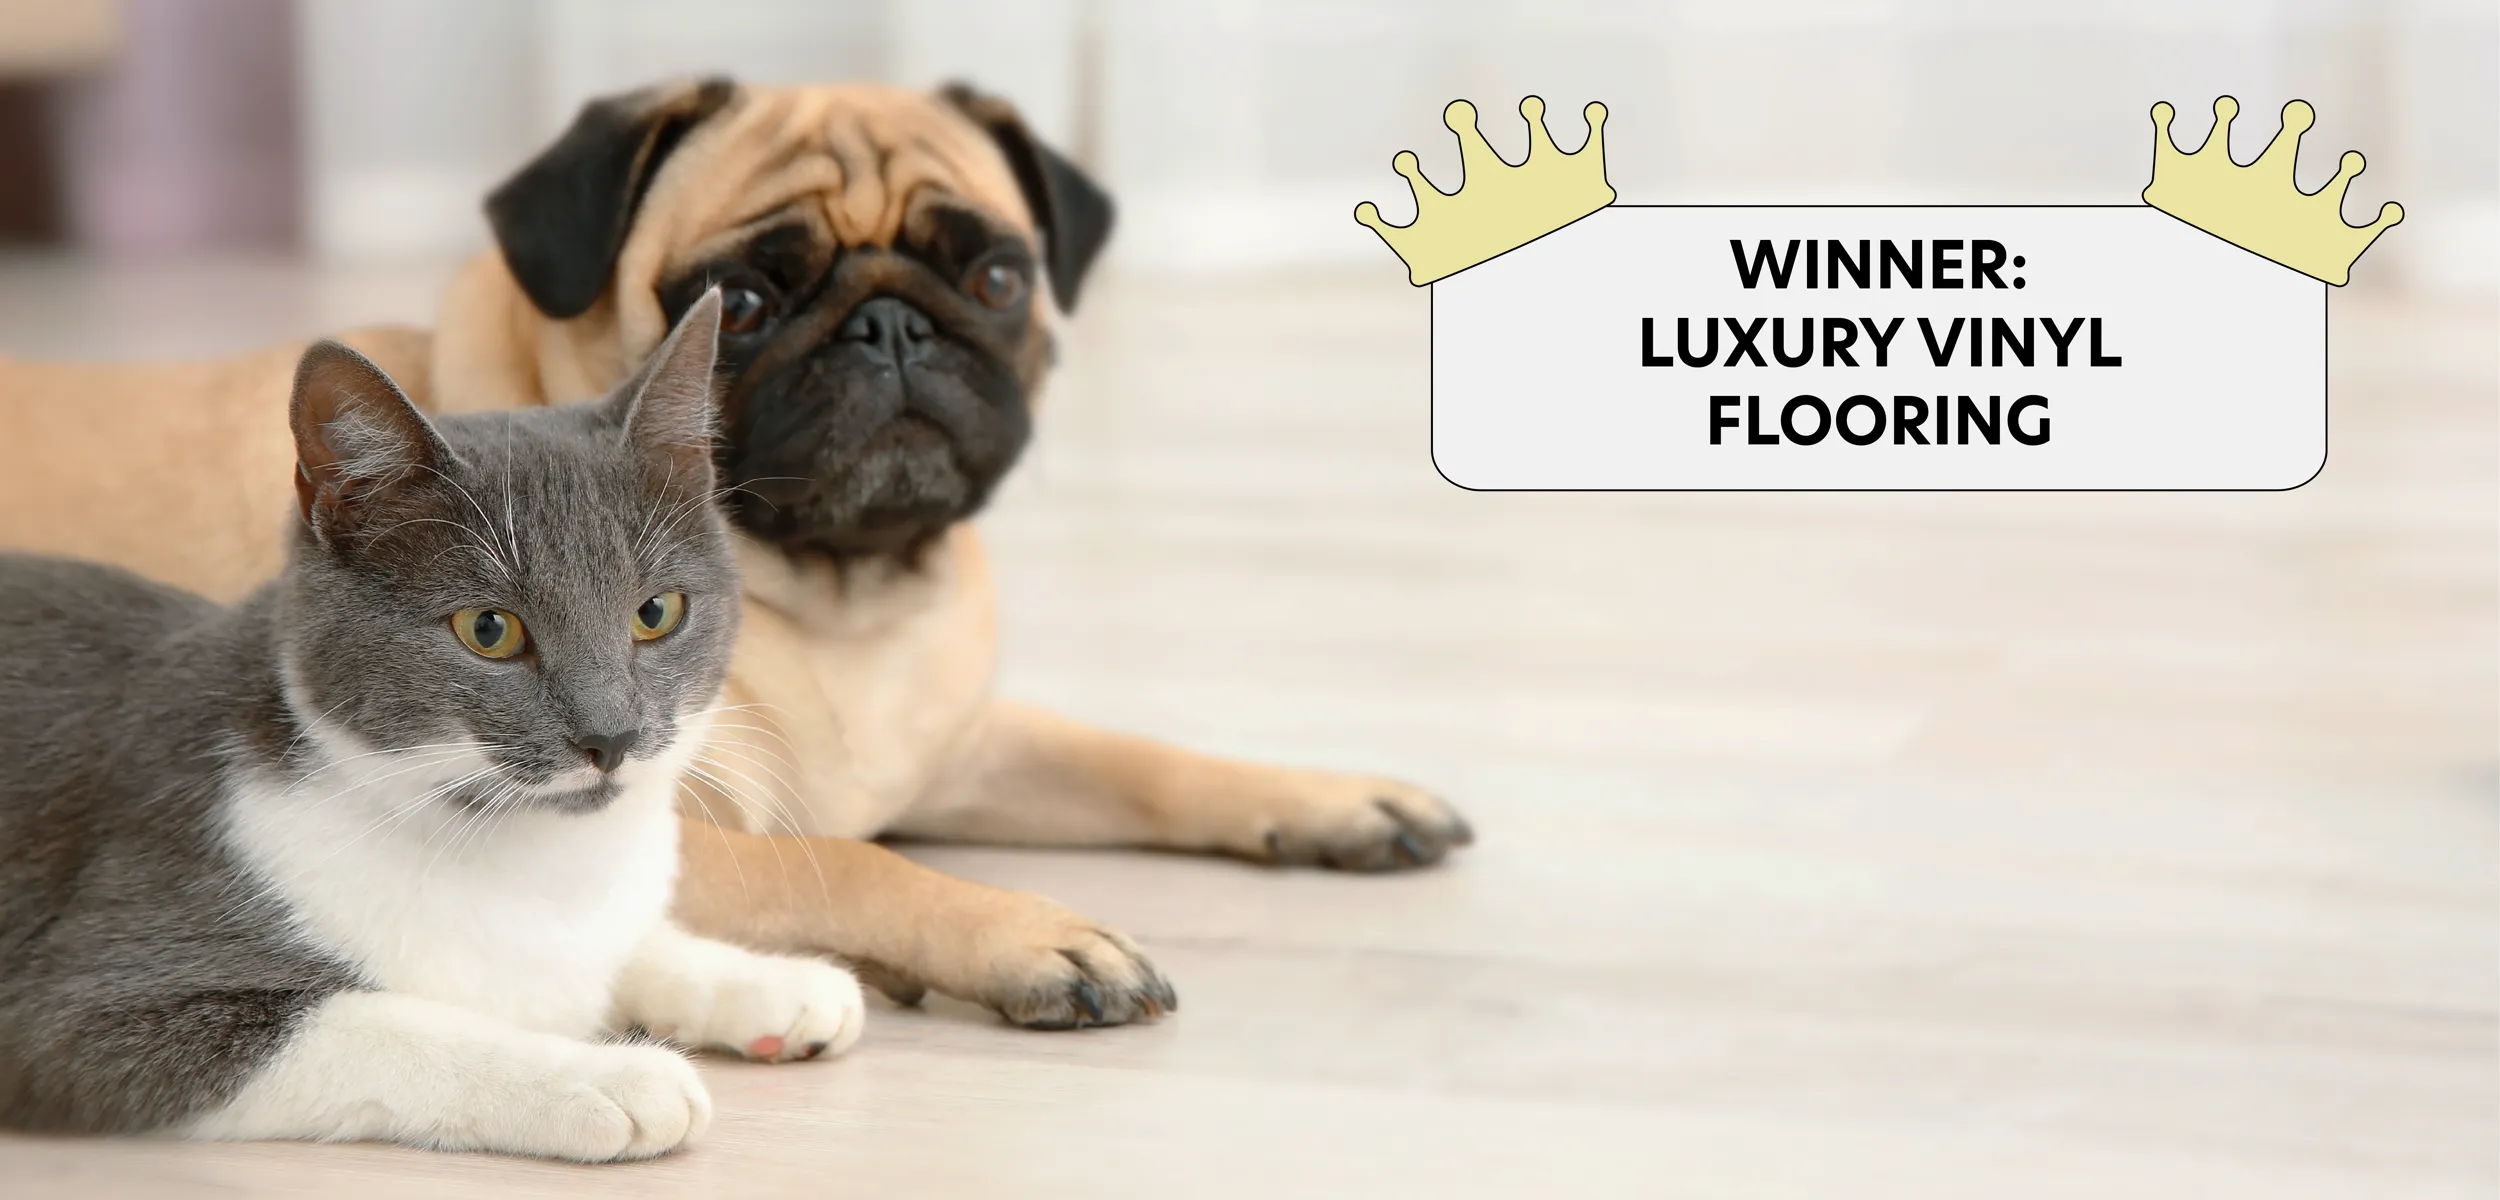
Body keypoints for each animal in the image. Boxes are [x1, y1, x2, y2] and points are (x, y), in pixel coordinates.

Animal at [0, 79, 1460, 1025]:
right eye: (744, 301)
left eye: (994, 279)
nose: (889, 325)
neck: (843, 604)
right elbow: (860, 863)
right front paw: (1022, 932)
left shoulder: (969, 745)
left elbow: (1139, 758)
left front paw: (1333, 800)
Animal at [0, 290, 860, 1160]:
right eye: (489, 630)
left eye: (657, 613)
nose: (611, 736)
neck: (520, 854)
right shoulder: (93, 998)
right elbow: (386, 1025)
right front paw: (609, 1077)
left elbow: (626, 947)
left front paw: (772, 981)